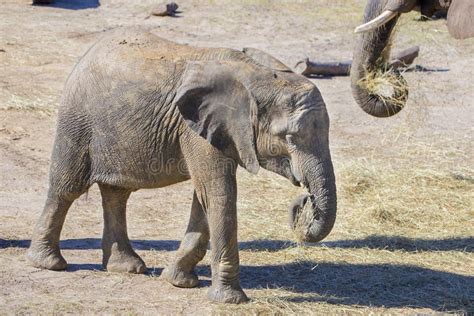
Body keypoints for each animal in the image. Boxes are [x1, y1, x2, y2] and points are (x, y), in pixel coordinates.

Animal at [25, 29, 336, 304]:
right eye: (289, 138)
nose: (304, 200)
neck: (257, 76)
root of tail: (88, 52)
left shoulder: (219, 131)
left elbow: (205, 198)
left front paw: (179, 281)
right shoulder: (197, 129)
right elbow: (219, 194)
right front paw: (229, 300)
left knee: (117, 194)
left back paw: (127, 267)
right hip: (77, 120)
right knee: (66, 189)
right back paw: (49, 264)